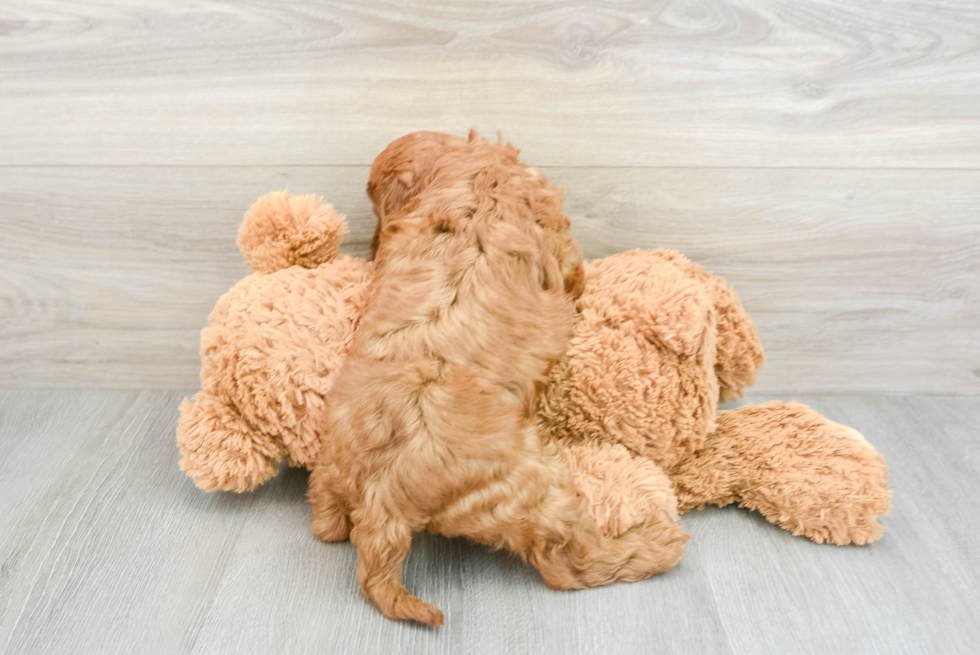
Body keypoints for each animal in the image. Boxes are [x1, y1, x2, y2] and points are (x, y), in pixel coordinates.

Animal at [312, 132, 680, 624]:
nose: (371, 249)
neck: (476, 183)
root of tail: (381, 497)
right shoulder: (557, 241)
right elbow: (573, 270)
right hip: (534, 493)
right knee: (569, 563)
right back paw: (656, 546)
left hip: (331, 468)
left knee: (326, 519)